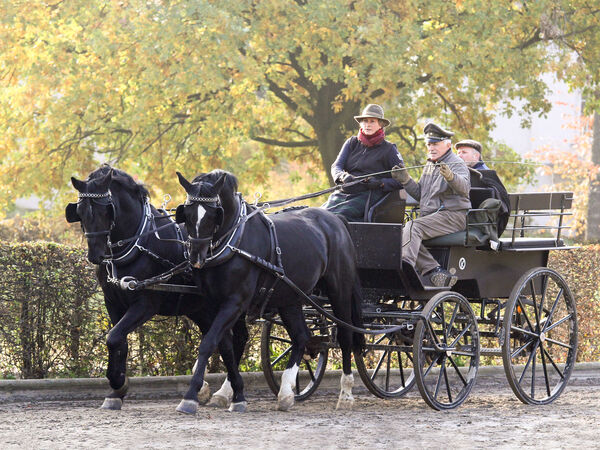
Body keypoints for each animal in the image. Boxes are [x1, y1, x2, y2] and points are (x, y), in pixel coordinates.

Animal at [67, 166, 250, 412]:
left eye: (107, 210)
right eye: (80, 211)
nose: (96, 255)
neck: (137, 243)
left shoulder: (145, 305)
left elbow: (113, 338)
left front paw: (118, 382)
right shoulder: (112, 302)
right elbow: (118, 341)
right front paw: (116, 391)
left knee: (236, 340)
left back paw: (228, 391)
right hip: (202, 309)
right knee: (225, 342)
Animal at [171, 170, 364, 414]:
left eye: (214, 214)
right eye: (186, 214)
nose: (196, 256)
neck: (233, 241)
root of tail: (336, 220)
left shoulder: (235, 302)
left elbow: (209, 344)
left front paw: (191, 397)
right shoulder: (213, 303)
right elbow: (224, 346)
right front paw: (229, 394)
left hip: (339, 291)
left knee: (345, 334)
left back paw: (346, 393)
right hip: (290, 298)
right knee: (301, 336)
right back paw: (286, 393)